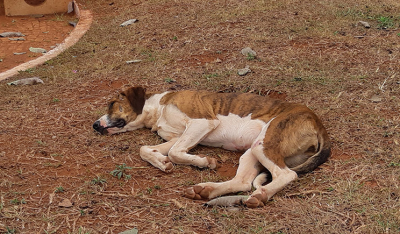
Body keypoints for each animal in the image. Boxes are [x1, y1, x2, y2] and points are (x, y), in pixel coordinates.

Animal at [94, 87, 332, 207]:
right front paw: (162, 163)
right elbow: (146, 149)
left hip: (264, 144)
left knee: (287, 174)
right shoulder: (177, 136)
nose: (95, 125)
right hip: (253, 150)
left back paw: (262, 195)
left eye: (112, 104)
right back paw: (207, 190)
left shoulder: (202, 122)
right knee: (242, 182)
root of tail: (318, 123)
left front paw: (202, 161)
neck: (157, 109)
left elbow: (175, 152)